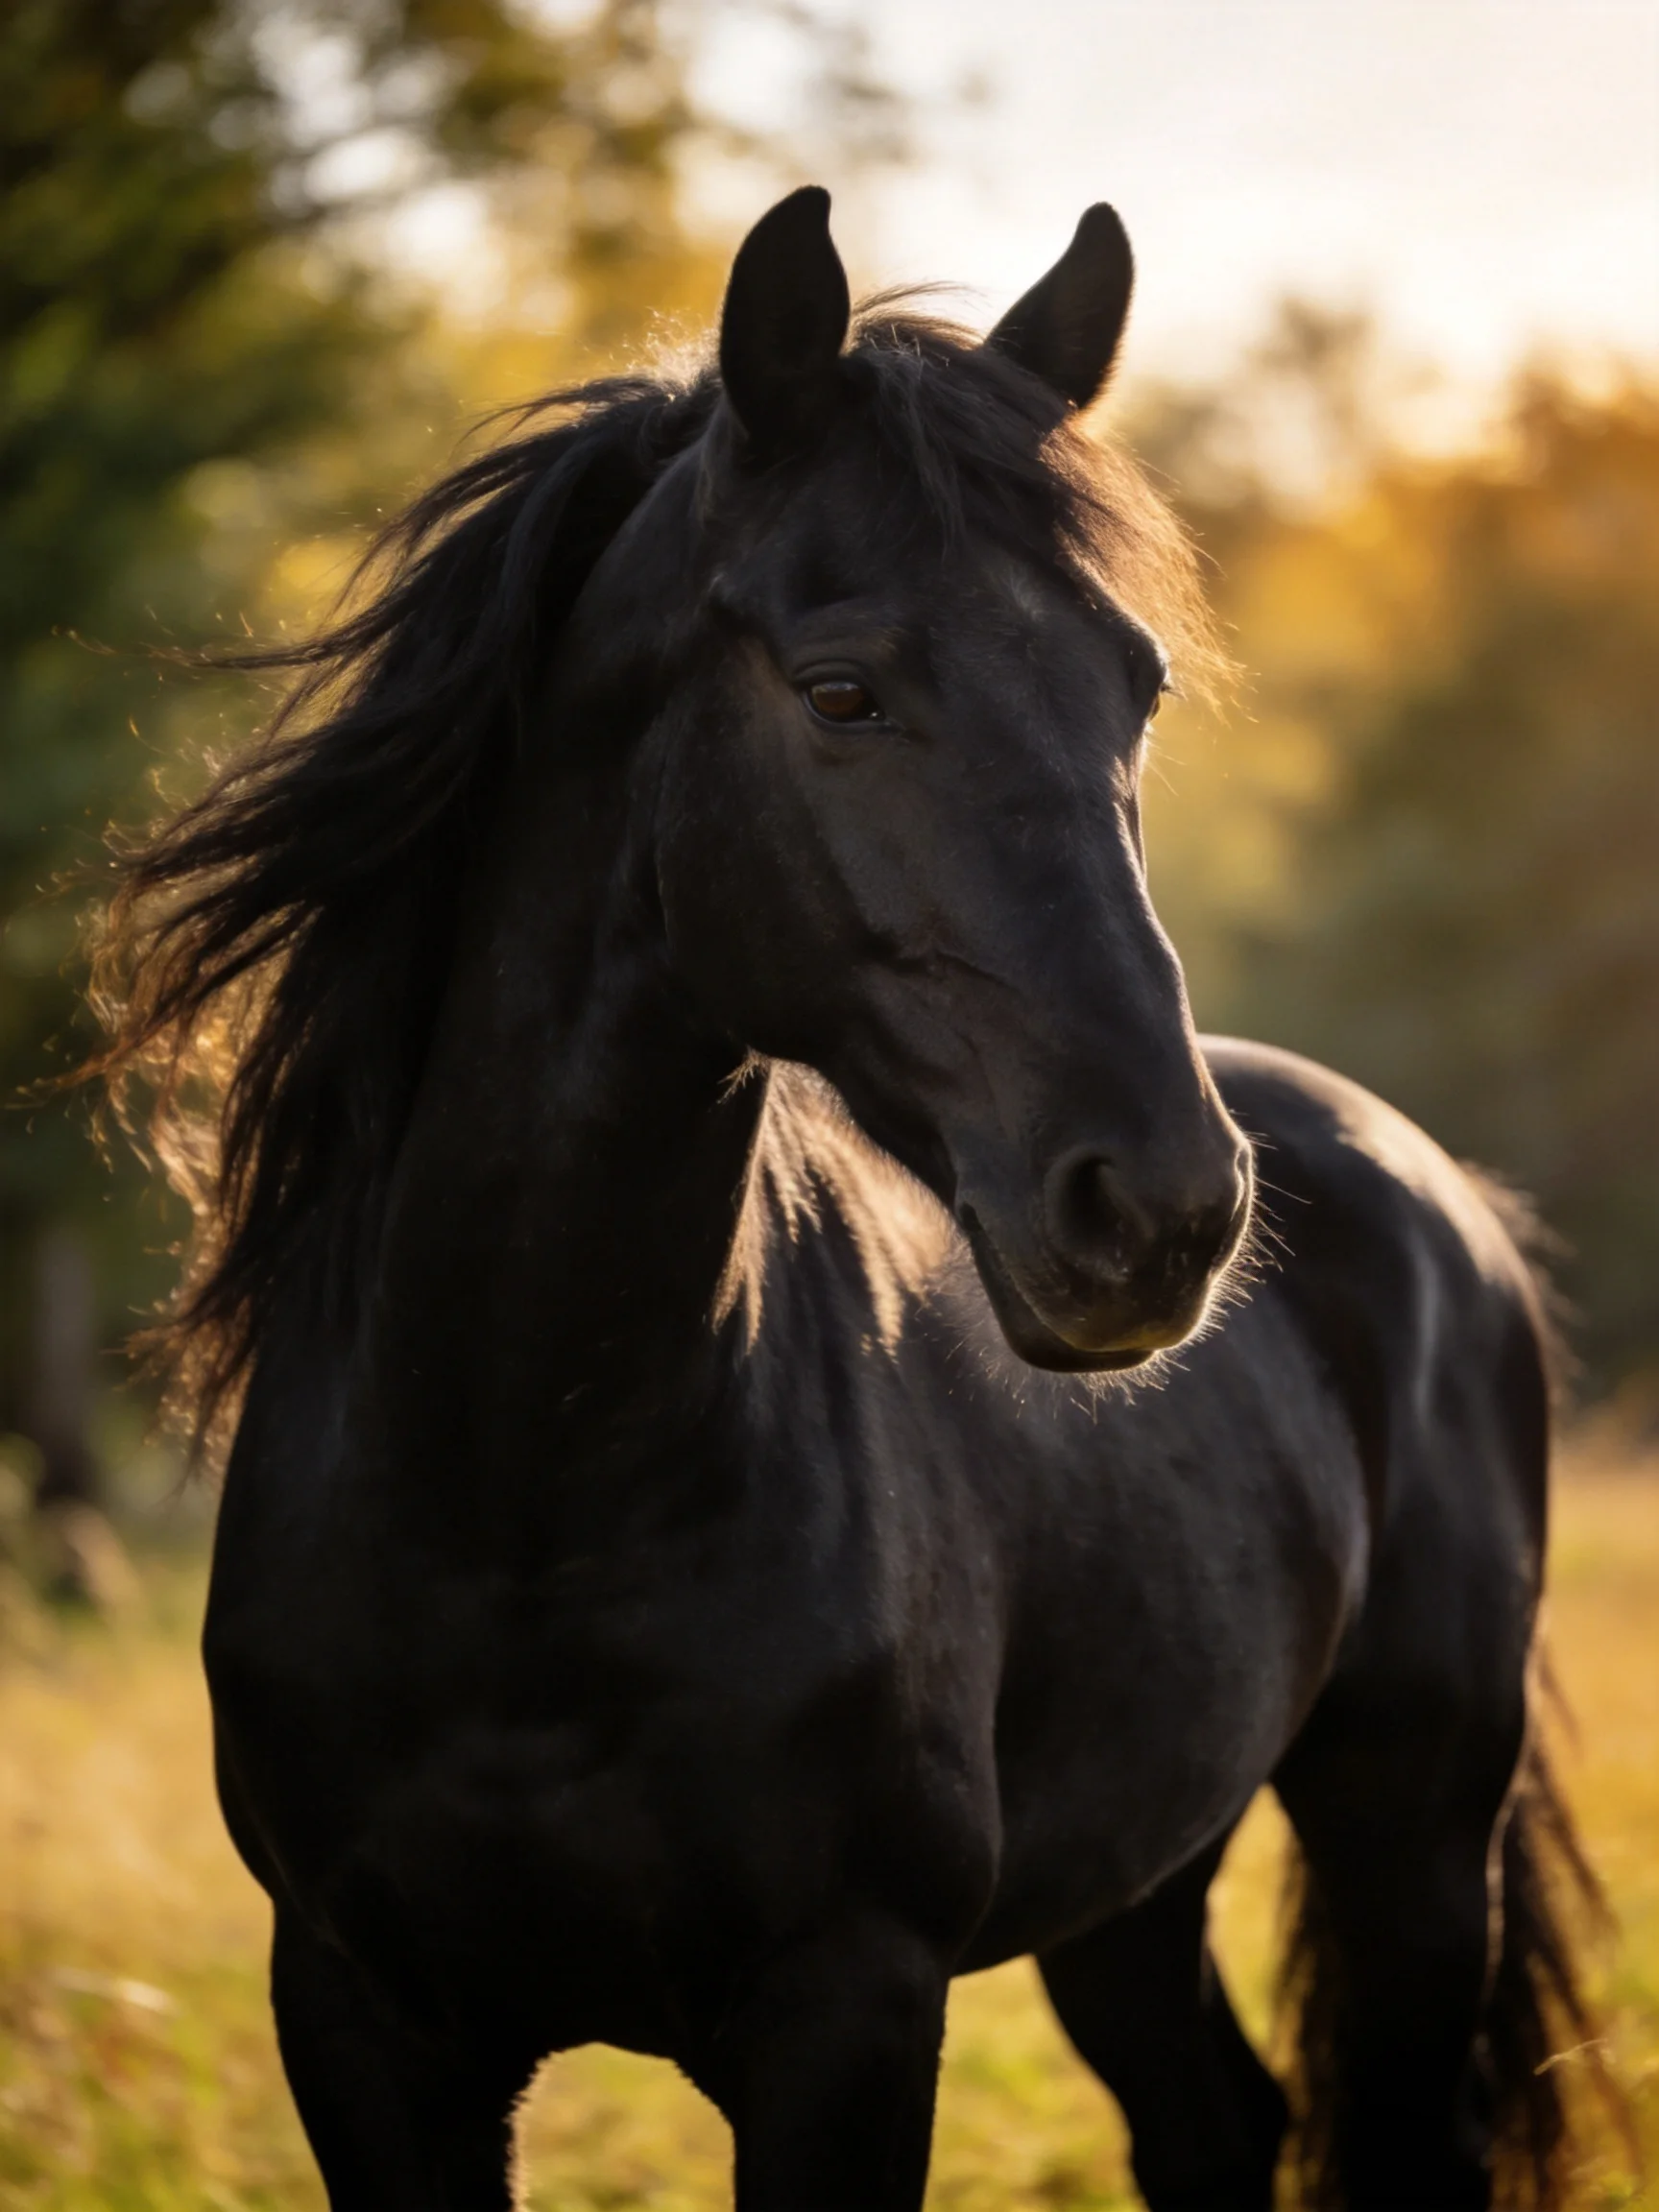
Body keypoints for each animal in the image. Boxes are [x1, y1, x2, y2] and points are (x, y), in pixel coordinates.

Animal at [95, 187, 1602, 2210]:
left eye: (1133, 687)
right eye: (839, 689)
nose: (1164, 1209)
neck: (519, 1491)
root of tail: (1437, 1195)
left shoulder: (846, 2016)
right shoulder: (360, 2018)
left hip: (1411, 1843)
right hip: (1133, 1877)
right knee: (1211, 2117)